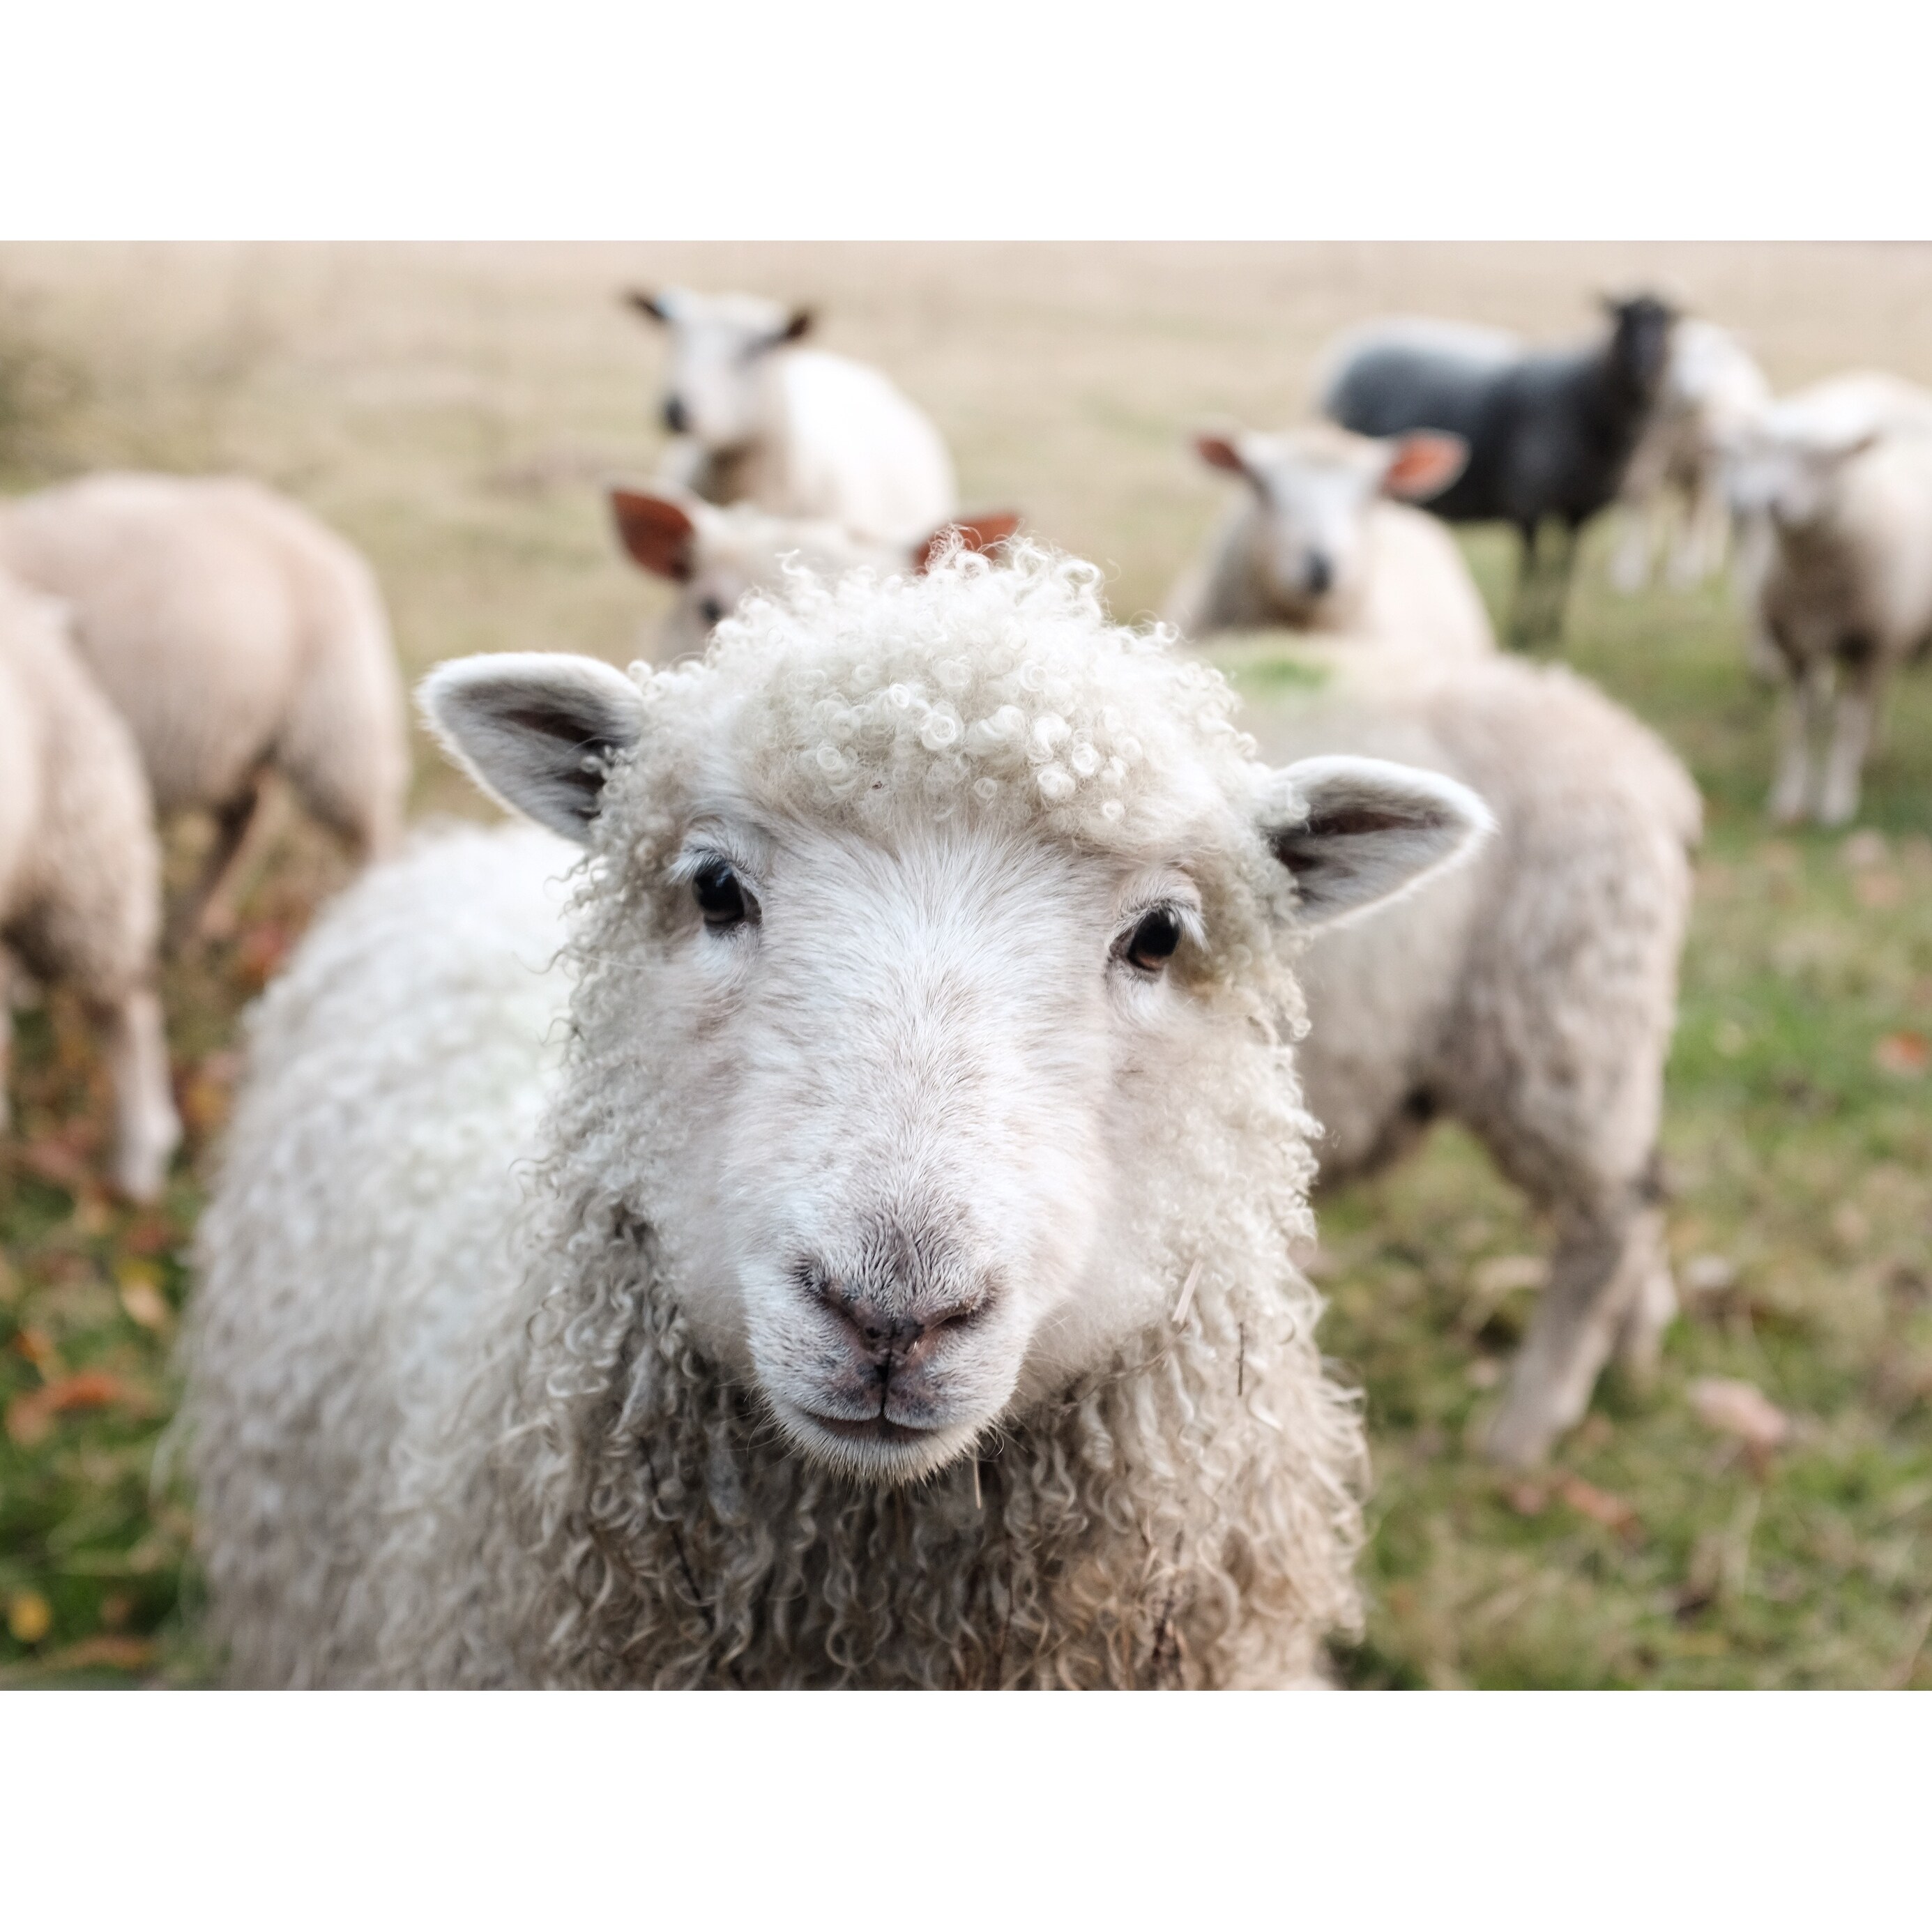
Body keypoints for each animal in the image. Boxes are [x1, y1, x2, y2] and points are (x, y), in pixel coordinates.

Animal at [0, 473, 409, 944]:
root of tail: (322, 538)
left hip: (338, 722)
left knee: (371, 823)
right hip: (236, 738)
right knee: (245, 817)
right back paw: (195, 922)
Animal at [1237, 641, 1700, 1466]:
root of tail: (1650, 764)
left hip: (1560, 1021)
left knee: (1614, 1216)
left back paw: (1525, 1427)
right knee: (1639, 1188)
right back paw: (1635, 1346)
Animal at [1321, 295, 1679, 647]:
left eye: (1669, 323)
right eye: (1625, 318)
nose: (1645, 369)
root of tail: (1350, 348)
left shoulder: (1579, 510)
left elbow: (1564, 566)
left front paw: (1552, 629)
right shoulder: (1529, 502)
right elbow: (1531, 567)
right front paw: (1523, 630)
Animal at [1609, 318, 1772, 593]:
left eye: (1716, 358)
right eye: (1680, 356)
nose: (1692, 388)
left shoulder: (1706, 469)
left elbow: (1697, 516)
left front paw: (1685, 573)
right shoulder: (1647, 453)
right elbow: (1640, 502)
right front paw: (1629, 572)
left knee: (1709, 514)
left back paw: (1703, 563)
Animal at [1723, 372, 1932, 827]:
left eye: (1825, 460)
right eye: (1767, 451)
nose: (1771, 503)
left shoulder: (1869, 644)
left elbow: (1846, 725)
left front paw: (1837, 801)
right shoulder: (1794, 645)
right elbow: (1798, 723)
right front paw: (1788, 798)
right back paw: (1871, 753)